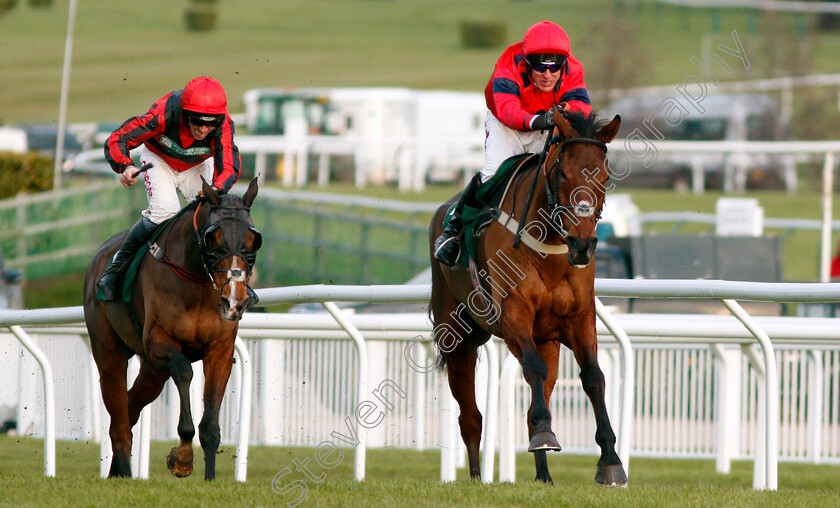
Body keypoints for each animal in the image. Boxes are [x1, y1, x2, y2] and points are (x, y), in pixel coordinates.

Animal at [82, 180, 260, 480]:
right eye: (213, 238)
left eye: (253, 238)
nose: (235, 300)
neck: (198, 283)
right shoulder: (159, 343)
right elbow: (184, 371)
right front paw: (183, 457)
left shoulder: (220, 352)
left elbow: (211, 425)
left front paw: (210, 478)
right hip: (109, 353)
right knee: (119, 417)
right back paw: (125, 472)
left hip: (152, 372)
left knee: (130, 408)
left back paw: (117, 471)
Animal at [430, 110, 628, 484]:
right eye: (563, 173)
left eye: (605, 174)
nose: (582, 244)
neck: (550, 247)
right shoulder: (513, 314)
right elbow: (533, 368)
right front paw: (545, 435)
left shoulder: (579, 319)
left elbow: (594, 377)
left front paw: (610, 460)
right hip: (457, 336)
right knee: (470, 417)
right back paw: (476, 479)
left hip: (546, 340)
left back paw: (544, 476)